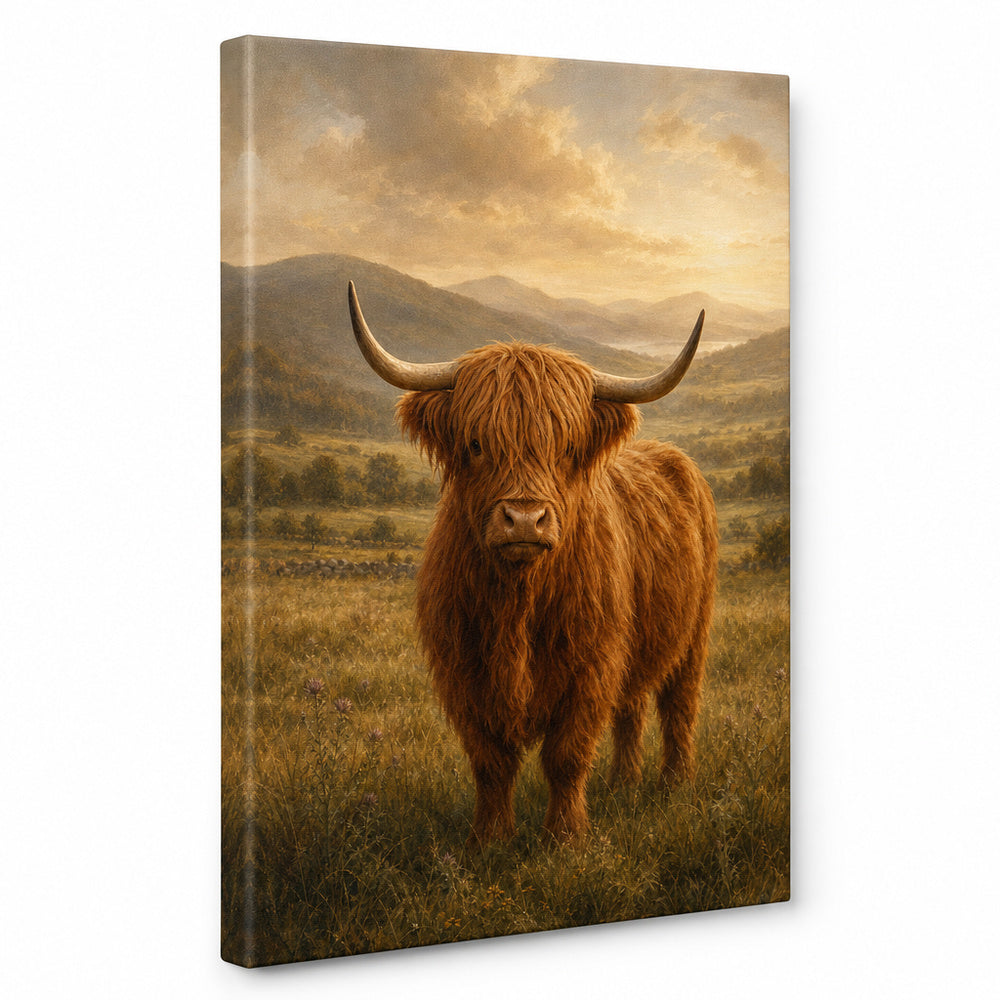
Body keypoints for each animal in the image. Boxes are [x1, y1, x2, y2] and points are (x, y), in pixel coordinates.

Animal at [348, 281, 717, 845]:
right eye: (476, 443)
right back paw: (623, 784)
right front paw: (489, 840)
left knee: (679, 706)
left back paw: (674, 786)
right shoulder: (464, 670)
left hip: (693, 635)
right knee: (631, 708)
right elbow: (491, 761)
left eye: (566, 447)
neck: (518, 606)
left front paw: (565, 838)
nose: (524, 520)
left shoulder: (590, 664)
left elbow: (566, 756)